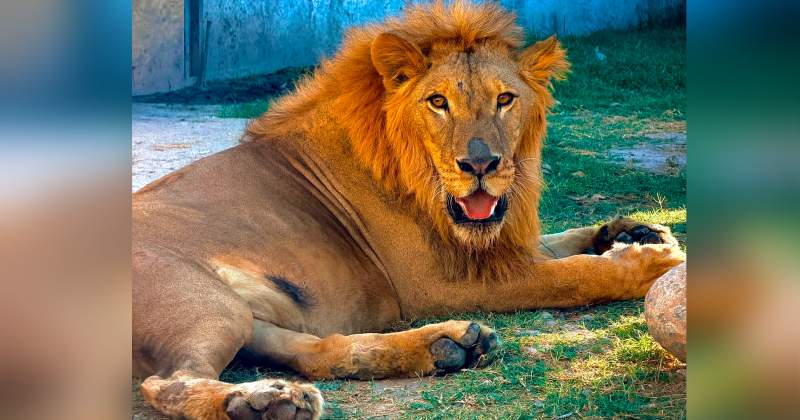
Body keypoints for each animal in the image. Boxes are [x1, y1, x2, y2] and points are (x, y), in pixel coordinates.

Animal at [133, 2, 684, 419]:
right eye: (437, 102)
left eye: (505, 99)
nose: (480, 164)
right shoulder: (441, 283)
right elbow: (569, 277)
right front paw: (652, 263)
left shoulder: (495, 242)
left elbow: (559, 241)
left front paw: (638, 231)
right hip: (206, 301)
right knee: (167, 382)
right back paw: (260, 402)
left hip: (246, 316)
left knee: (318, 354)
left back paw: (448, 347)